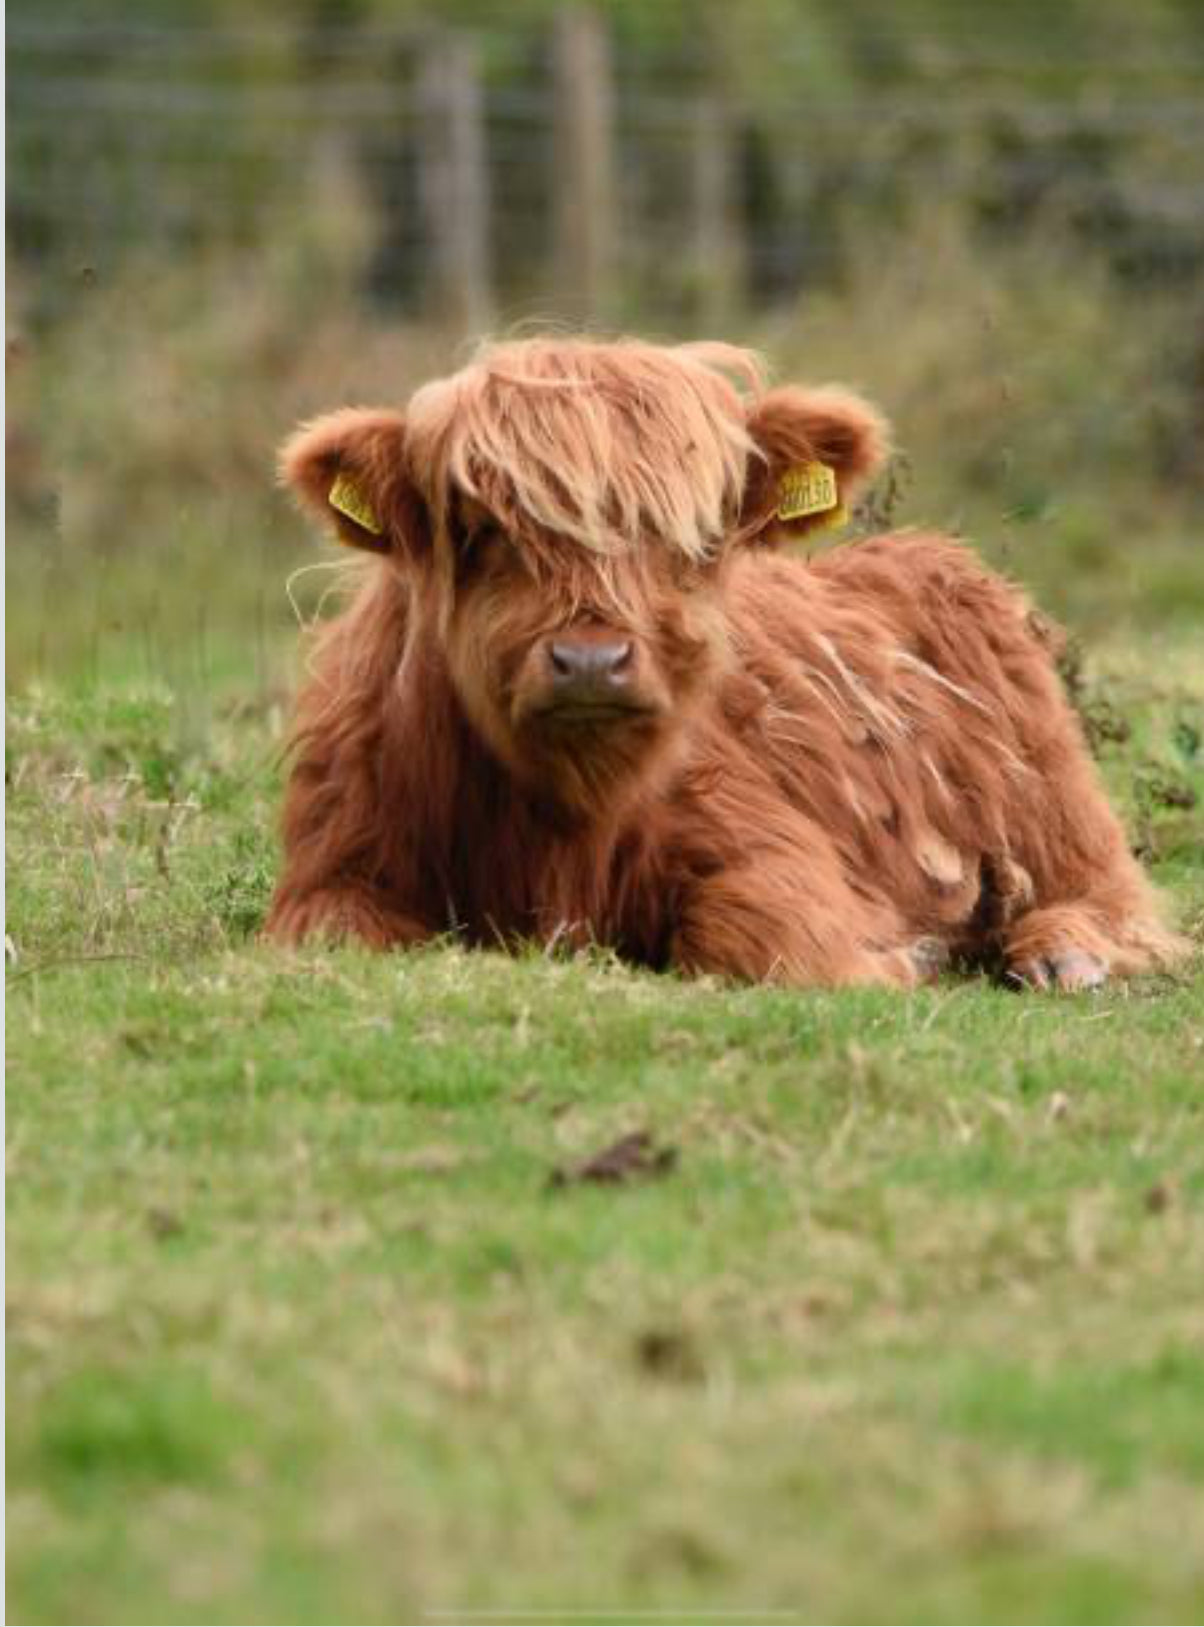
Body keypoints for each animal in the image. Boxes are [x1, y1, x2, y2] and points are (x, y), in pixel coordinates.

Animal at [266, 337, 1184, 991]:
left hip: (1061, 813)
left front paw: (907, 954)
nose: (591, 660)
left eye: (694, 537)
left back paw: (1060, 954)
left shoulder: (769, 851)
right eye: (483, 527)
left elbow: (763, 938)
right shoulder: (332, 871)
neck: (562, 827)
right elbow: (340, 931)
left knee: (1117, 903)